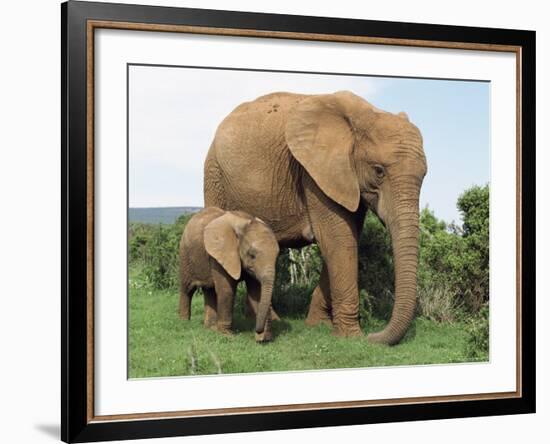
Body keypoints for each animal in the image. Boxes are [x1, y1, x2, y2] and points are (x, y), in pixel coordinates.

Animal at [180, 206, 278, 342]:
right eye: (252, 255)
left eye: (277, 256)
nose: (258, 331)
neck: (244, 222)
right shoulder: (219, 254)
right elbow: (226, 290)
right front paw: (227, 335)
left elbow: (256, 292)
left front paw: (263, 338)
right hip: (185, 254)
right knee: (187, 289)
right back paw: (184, 322)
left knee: (209, 290)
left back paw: (210, 328)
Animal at [205, 90, 430, 346]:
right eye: (378, 171)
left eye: (425, 174)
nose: (373, 336)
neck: (363, 114)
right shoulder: (314, 173)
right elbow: (339, 240)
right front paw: (350, 337)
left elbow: (347, 239)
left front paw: (318, 325)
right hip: (214, 173)